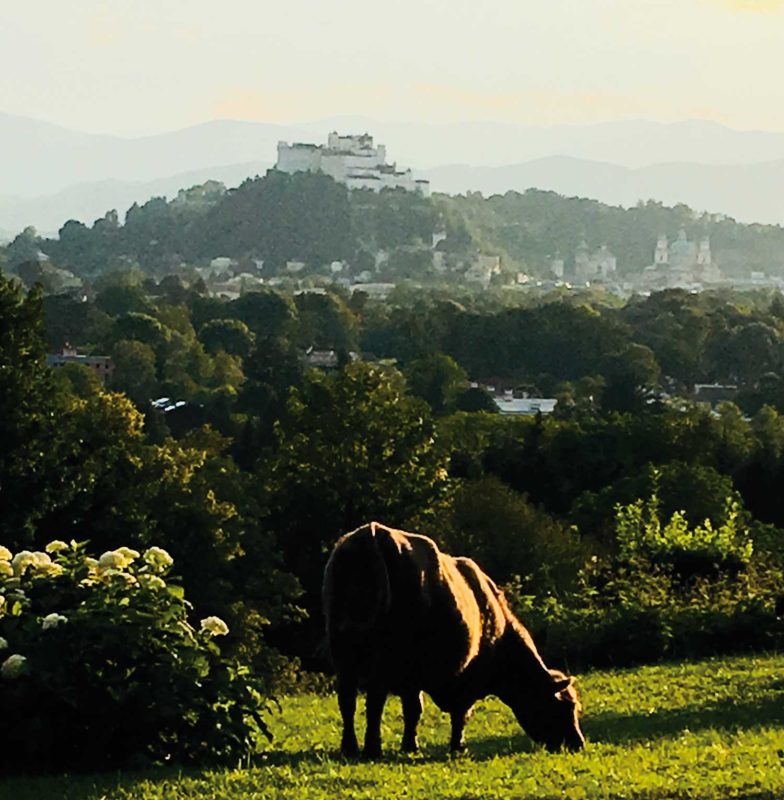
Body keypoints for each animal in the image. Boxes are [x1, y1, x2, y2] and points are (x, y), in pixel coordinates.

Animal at [322, 520, 584, 760]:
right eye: (566, 706)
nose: (578, 744)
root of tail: (373, 531)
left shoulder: (413, 679)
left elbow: (414, 709)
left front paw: (410, 746)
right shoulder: (466, 676)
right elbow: (457, 712)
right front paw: (455, 746)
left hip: (342, 651)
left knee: (347, 699)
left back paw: (350, 748)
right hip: (383, 657)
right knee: (374, 701)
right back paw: (372, 749)